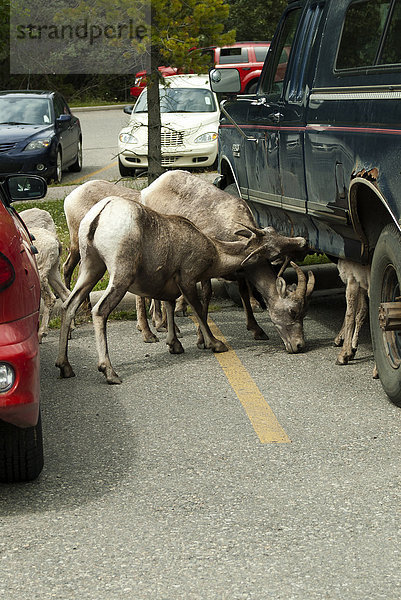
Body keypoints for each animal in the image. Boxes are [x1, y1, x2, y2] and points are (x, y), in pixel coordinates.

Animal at [19, 207, 69, 342]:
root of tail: (55, 240)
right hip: (53, 270)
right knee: (65, 293)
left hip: (41, 272)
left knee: (50, 299)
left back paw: (41, 333)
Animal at [54, 197, 294, 384]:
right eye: (273, 248)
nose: (299, 241)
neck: (214, 251)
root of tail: (99, 214)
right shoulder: (187, 277)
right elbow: (198, 310)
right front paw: (214, 344)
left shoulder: (170, 285)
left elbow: (170, 307)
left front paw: (175, 344)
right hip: (120, 274)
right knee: (99, 311)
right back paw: (110, 372)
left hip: (91, 268)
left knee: (69, 306)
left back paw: (65, 366)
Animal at [139, 170, 314, 352]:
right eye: (292, 311)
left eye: (305, 312)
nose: (299, 345)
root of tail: (149, 188)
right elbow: (206, 296)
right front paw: (202, 340)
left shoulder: (241, 272)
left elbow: (244, 293)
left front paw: (257, 330)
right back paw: (152, 331)